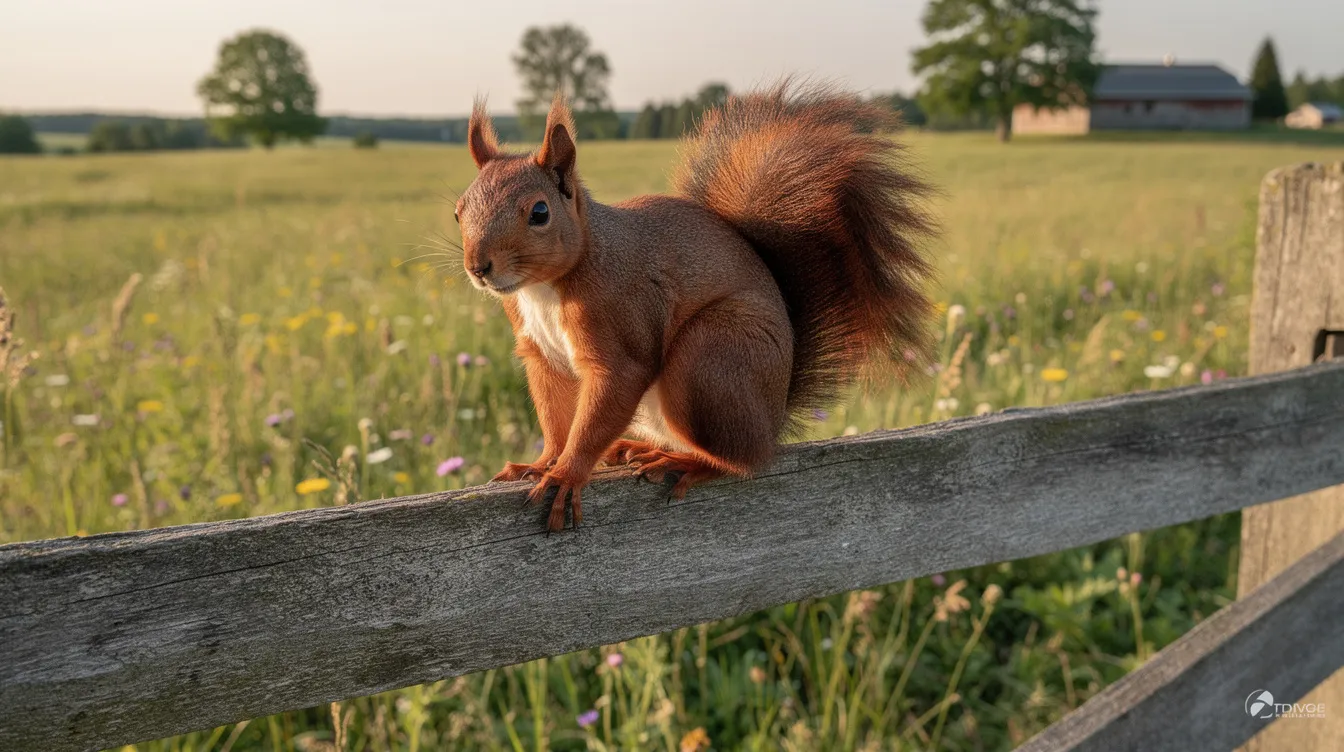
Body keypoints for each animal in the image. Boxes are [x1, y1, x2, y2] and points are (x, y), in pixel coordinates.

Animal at [455, 80, 937, 532]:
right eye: (459, 211)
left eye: (539, 213)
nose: (479, 267)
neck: (543, 288)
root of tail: (771, 421)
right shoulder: (541, 355)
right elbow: (556, 421)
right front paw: (541, 464)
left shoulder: (623, 335)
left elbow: (598, 412)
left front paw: (566, 477)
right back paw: (639, 447)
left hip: (710, 359)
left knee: (738, 461)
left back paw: (683, 462)